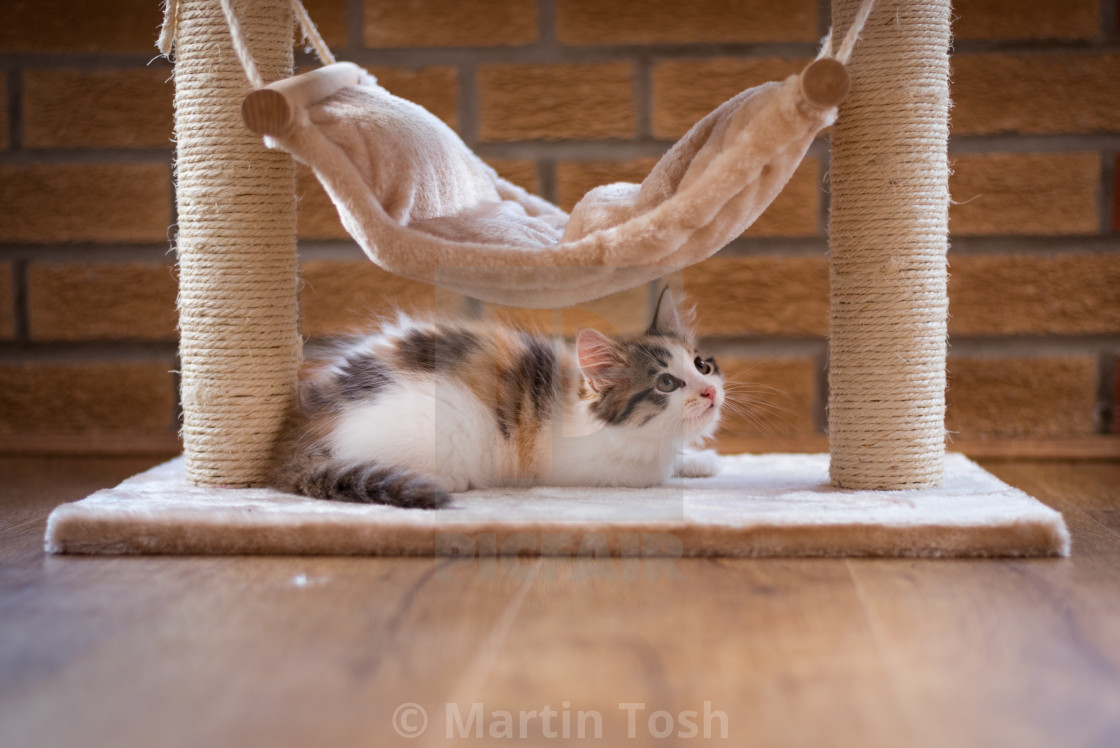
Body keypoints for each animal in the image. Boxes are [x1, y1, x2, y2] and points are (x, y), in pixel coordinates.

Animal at [271, 288, 725, 508]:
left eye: (702, 365)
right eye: (666, 384)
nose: (709, 391)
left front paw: (702, 461)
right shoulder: (593, 468)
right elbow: (657, 473)